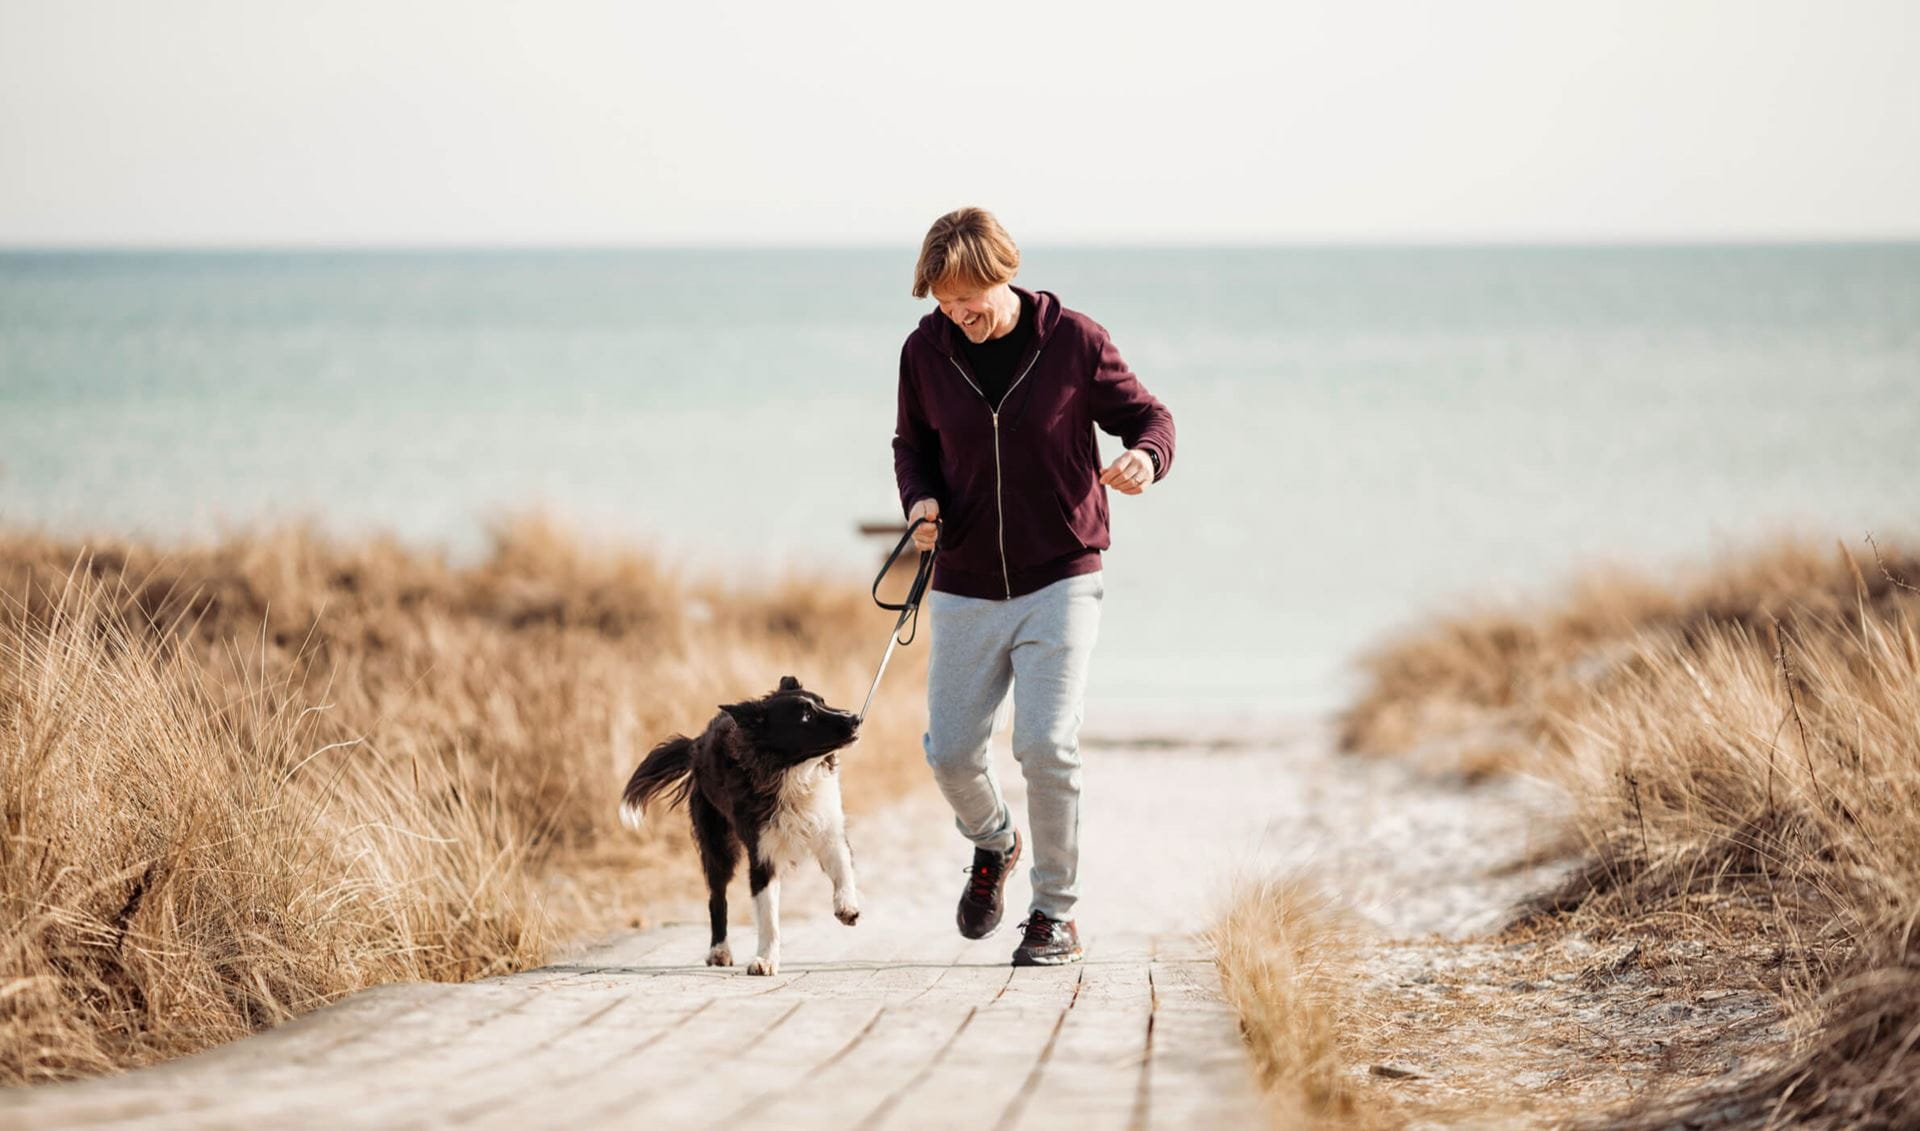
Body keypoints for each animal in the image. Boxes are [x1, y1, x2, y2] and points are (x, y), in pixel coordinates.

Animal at [618, 675, 860, 975]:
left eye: (823, 702)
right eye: (806, 716)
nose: (856, 718)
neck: (793, 774)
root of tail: (697, 743)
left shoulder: (829, 830)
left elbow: (843, 870)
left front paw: (847, 907)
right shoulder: (762, 855)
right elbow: (768, 918)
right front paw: (765, 960)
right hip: (718, 846)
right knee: (716, 899)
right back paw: (719, 951)